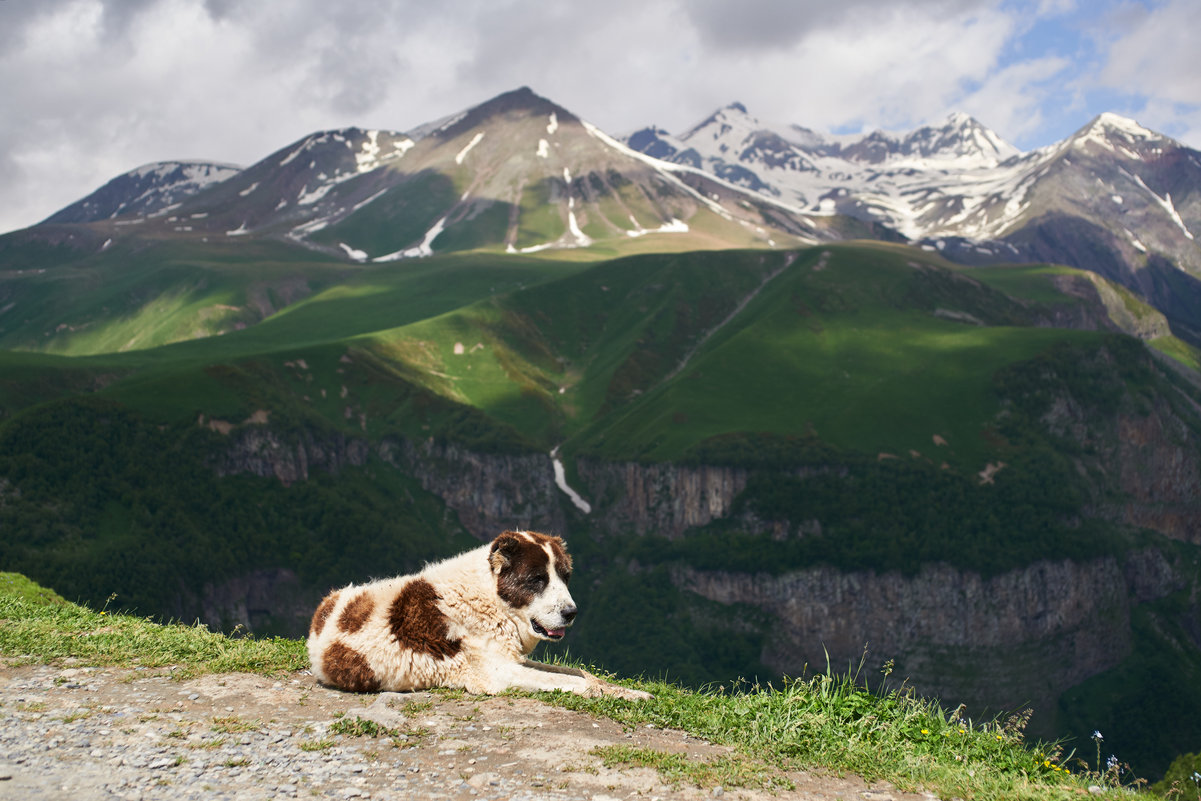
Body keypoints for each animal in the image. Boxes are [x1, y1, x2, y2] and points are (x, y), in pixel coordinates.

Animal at [305, 533, 653, 701]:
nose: (572, 613)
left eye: (565, 577)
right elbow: (570, 682)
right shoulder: (498, 671)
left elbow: (581, 673)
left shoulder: (514, 659)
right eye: (537, 580)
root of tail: (322, 609)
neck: (491, 600)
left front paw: (631, 693)